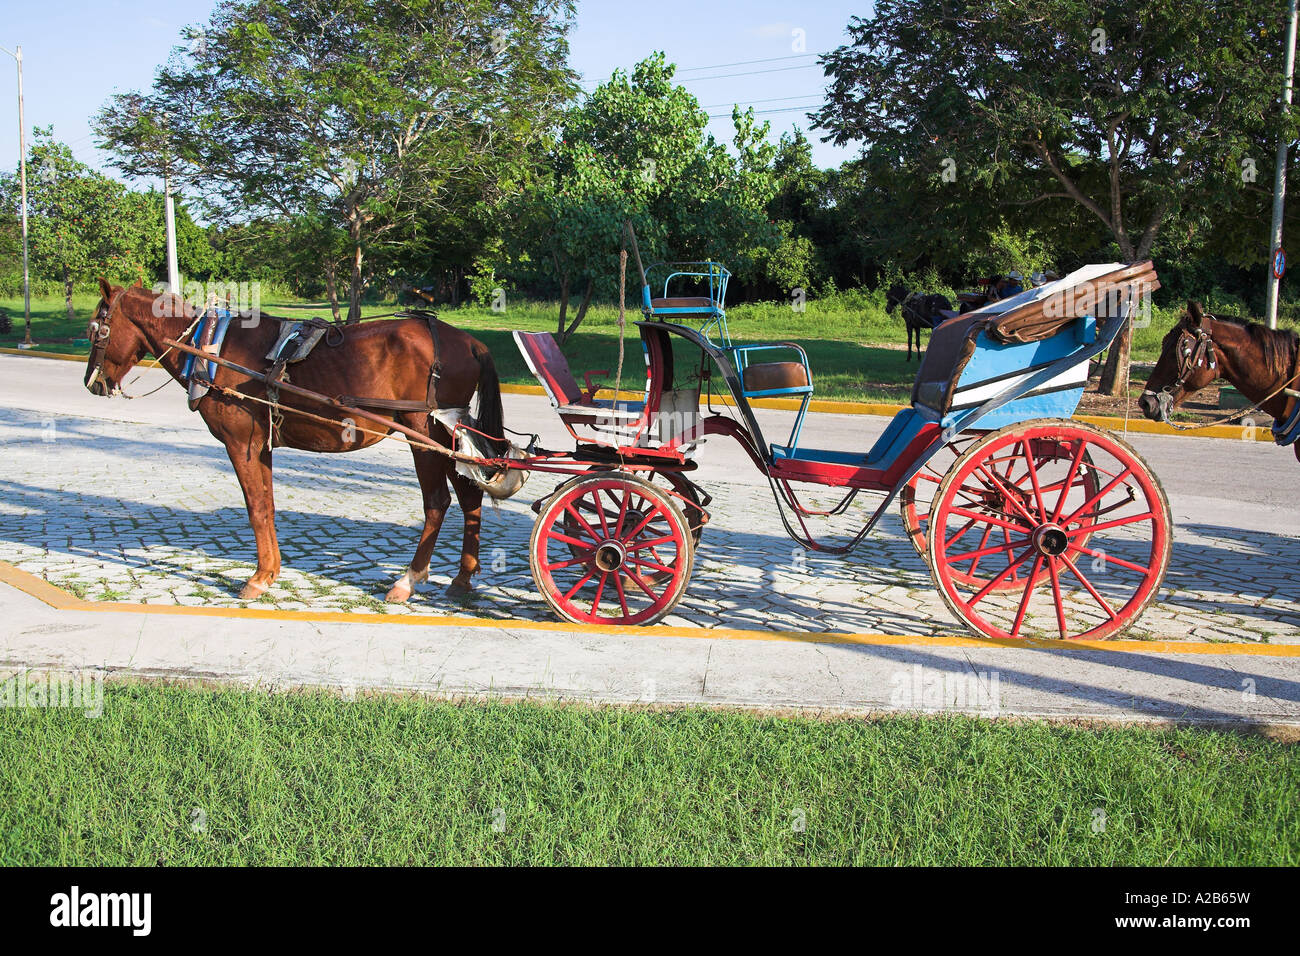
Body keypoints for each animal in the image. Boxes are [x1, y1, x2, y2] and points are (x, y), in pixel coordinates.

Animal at [82, 277, 506, 600]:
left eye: (95, 329)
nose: (92, 383)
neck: (211, 349)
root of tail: (467, 341)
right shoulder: (262, 445)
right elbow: (266, 505)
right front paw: (270, 570)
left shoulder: (241, 444)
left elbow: (255, 507)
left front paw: (258, 578)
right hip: (448, 436)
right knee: (470, 497)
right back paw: (462, 577)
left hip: (424, 432)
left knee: (437, 502)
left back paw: (408, 579)